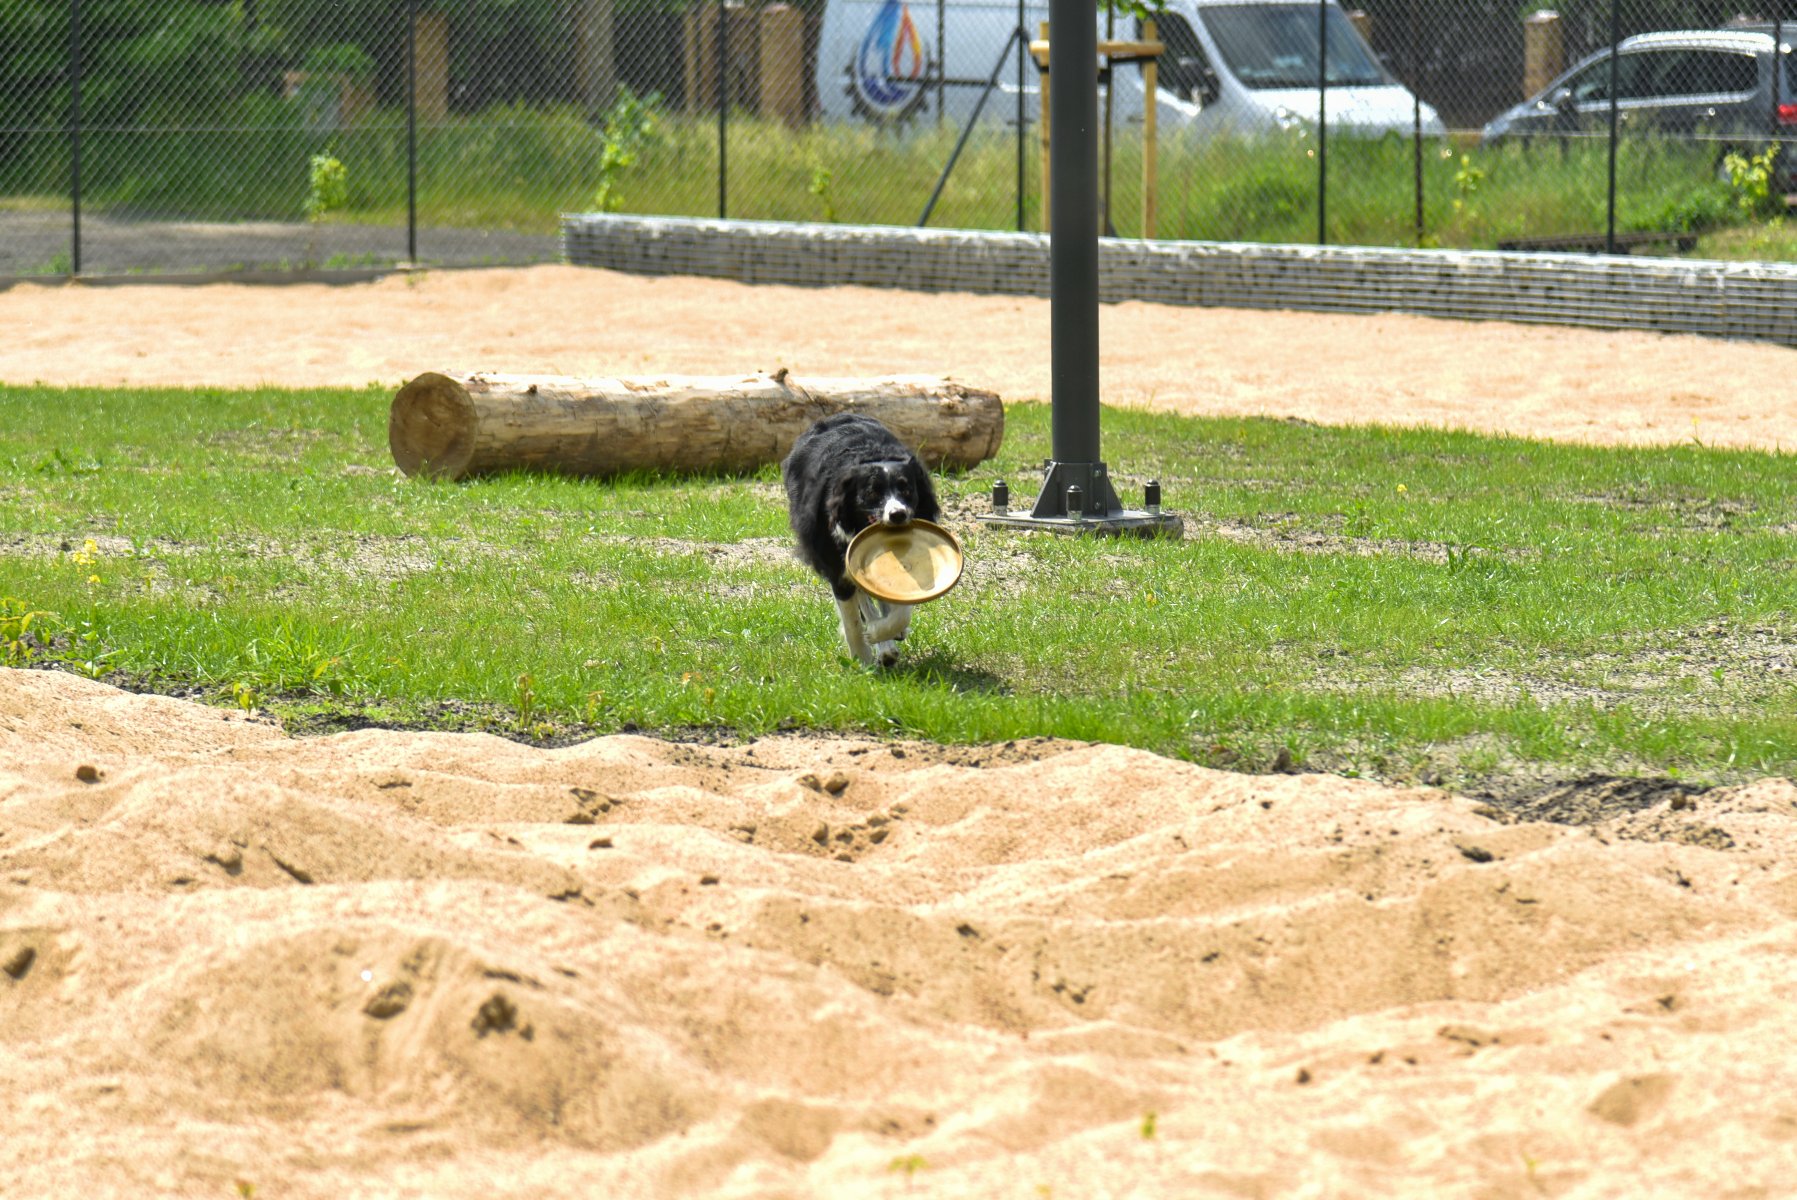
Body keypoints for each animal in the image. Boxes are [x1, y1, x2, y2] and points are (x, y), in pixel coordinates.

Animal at [783, 413, 941, 664]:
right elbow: (852, 621)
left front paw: (883, 631)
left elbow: (901, 608)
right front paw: (862, 660)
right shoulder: (837, 566)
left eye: (907, 490)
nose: (898, 515)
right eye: (872, 493)